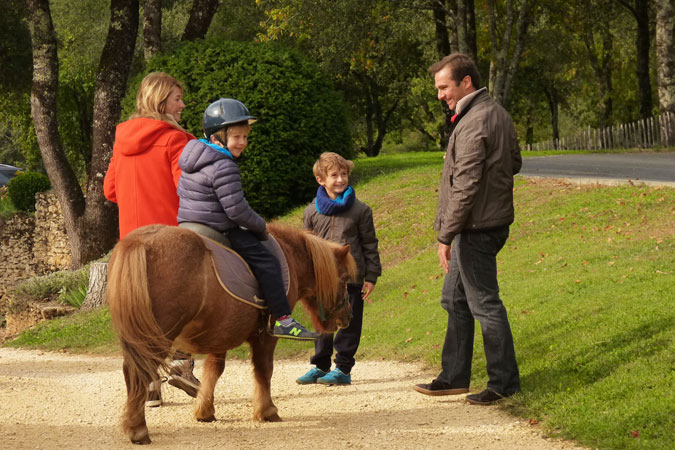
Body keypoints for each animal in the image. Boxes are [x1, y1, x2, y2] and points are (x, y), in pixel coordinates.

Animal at [107, 223, 354, 444]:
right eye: (343, 278)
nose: (347, 317)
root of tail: (140, 242)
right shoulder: (266, 336)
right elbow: (264, 371)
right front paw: (267, 411)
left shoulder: (221, 335)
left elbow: (213, 371)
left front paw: (204, 410)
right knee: (139, 374)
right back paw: (138, 429)